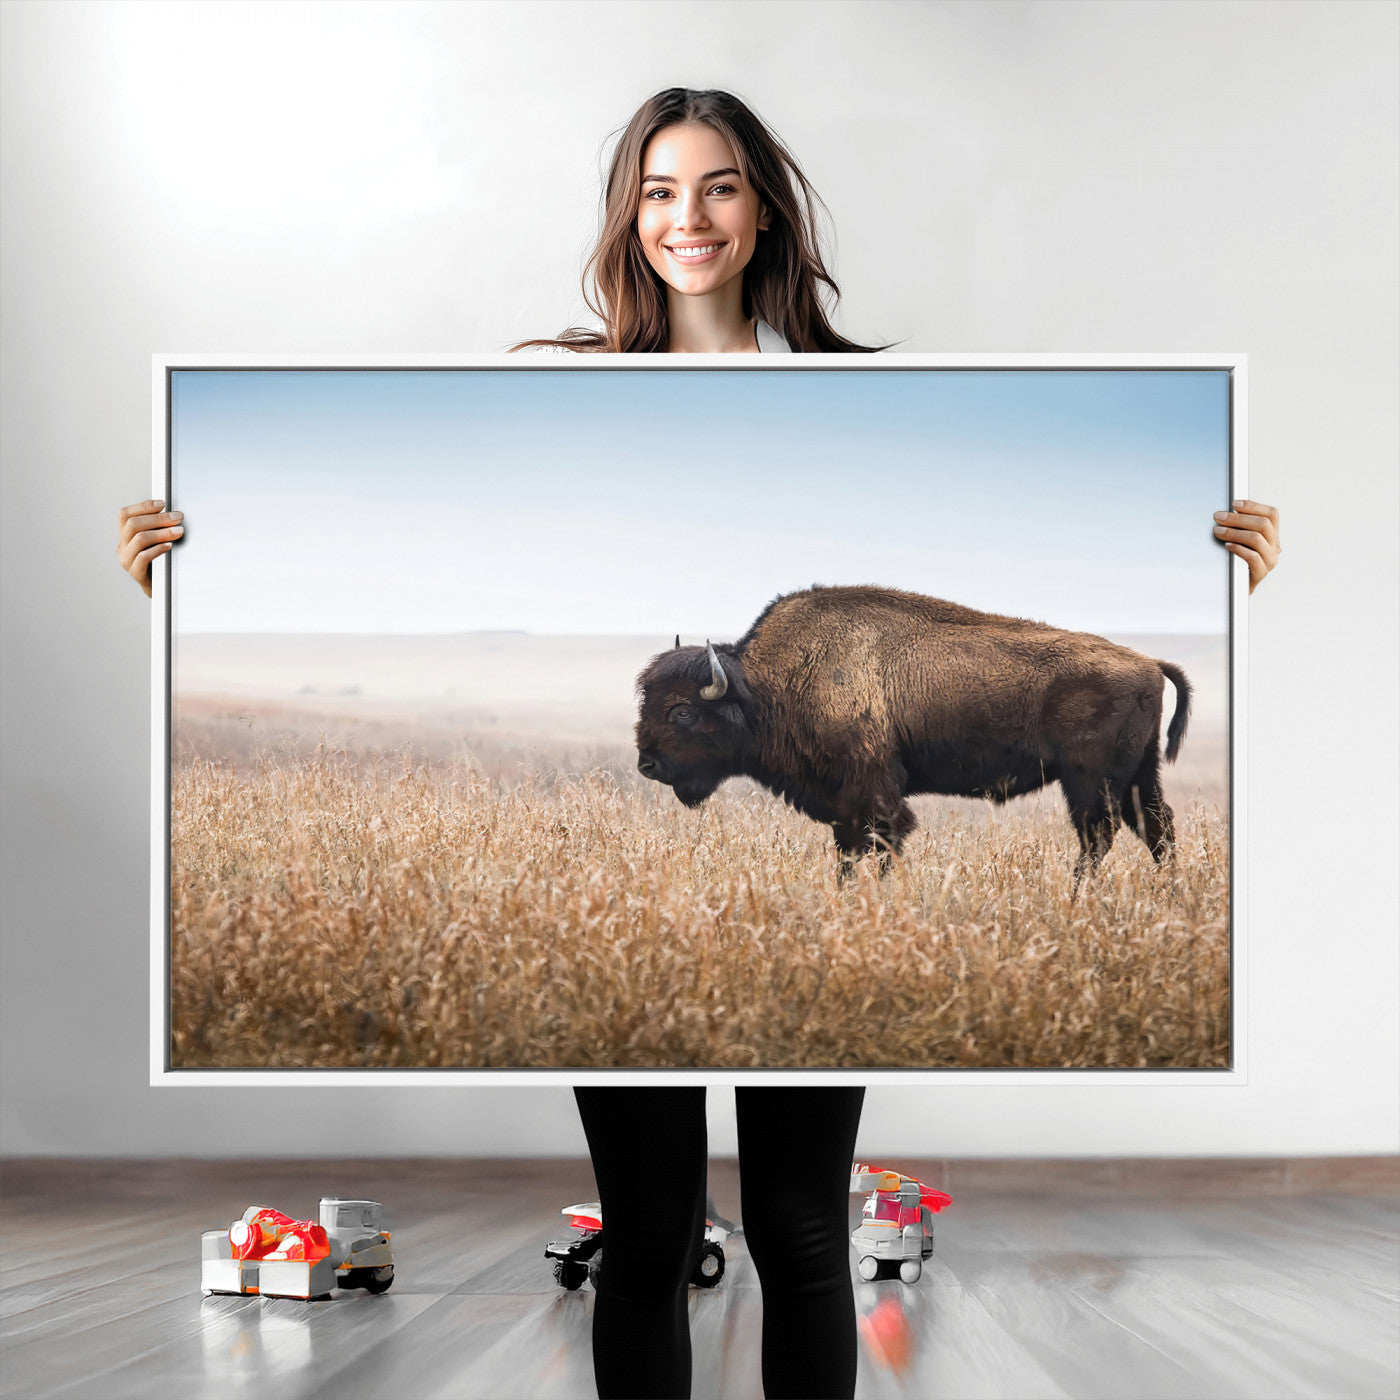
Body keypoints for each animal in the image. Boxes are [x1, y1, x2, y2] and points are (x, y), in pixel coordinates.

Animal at [634, 585, 1191, 883]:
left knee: (1100, 834)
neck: (768, 685)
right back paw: (1167, 895)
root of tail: (1149, 662)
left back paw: (1077, 895)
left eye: (682, 711)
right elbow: (849, 851)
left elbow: (881, 844)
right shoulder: (844, 805)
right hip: (1139, 774)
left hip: (1089, 780)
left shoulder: (874, 795)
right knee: (1156, 828)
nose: (647, 764)